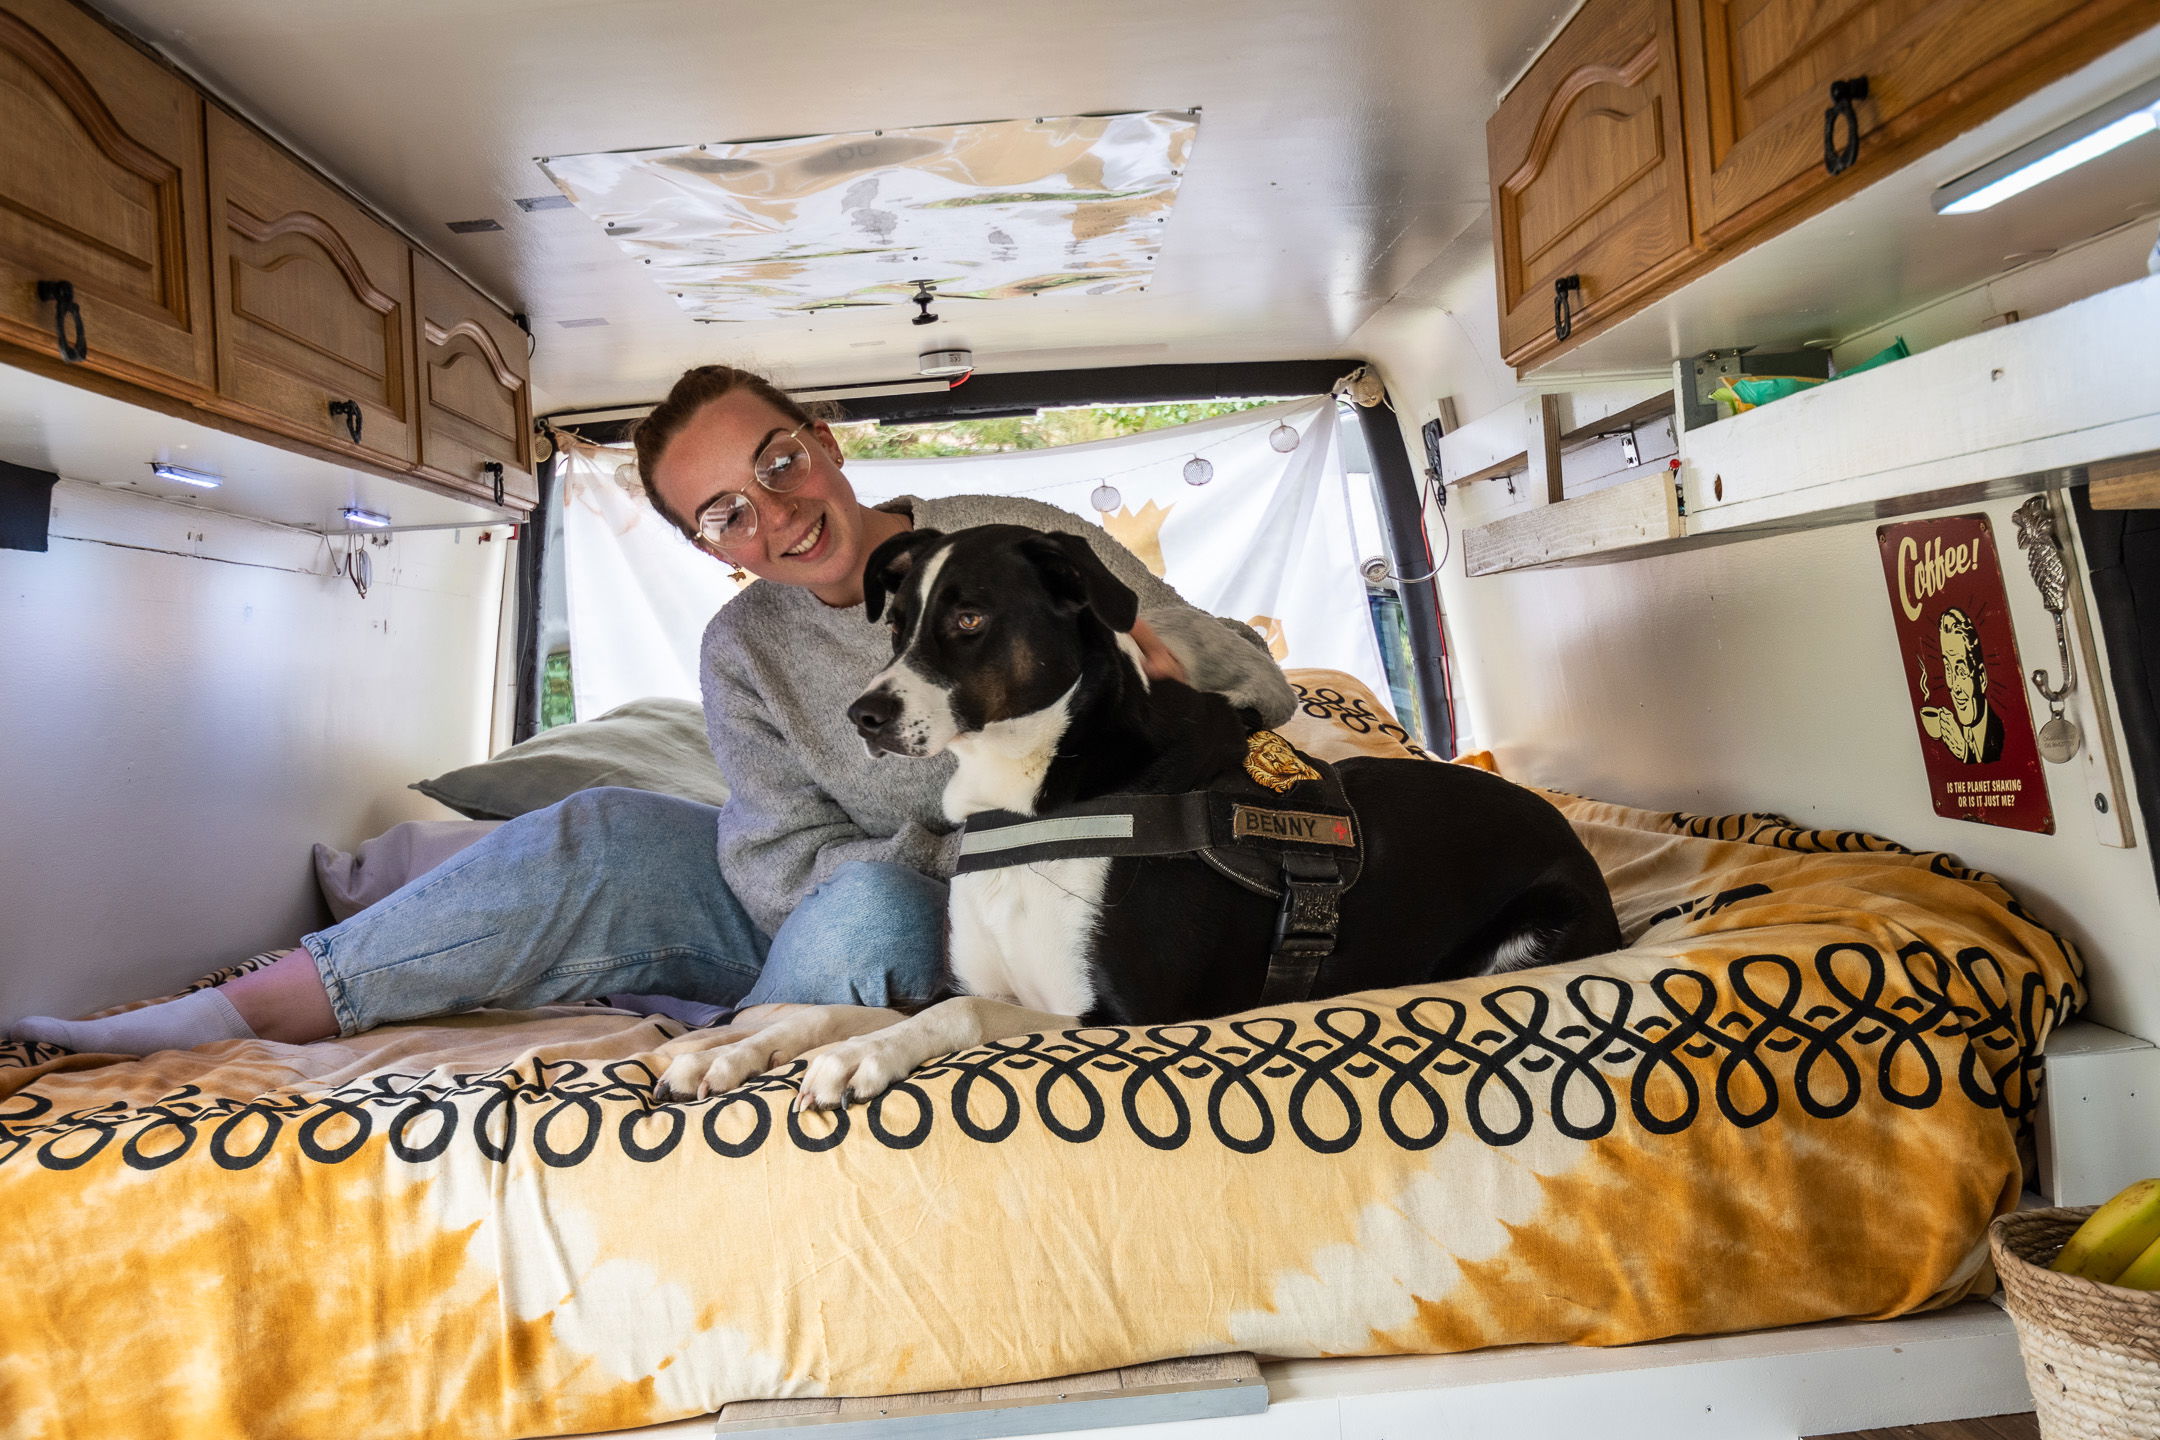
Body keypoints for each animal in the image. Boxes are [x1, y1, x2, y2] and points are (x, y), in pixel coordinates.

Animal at [656, 524, 1622, 1107]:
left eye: (968, 618)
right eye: (894, 627)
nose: (864, 715)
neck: (1034, 795)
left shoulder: (1121, 1015)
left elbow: (948, 1022)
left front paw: (860, 1060)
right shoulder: (982, 980)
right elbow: (838, 1011)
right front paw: (731, 1049)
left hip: (1534, 931)